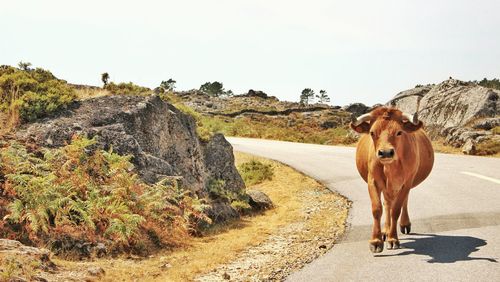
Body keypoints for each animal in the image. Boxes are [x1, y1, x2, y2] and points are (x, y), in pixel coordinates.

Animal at [352, 107, 434, 253]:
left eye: (399, 132)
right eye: (372, 132)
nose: (385, 152)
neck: (390, 167)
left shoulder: (406, 183)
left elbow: (396, 210)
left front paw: (393, 238)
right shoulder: (373, 182)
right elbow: (377, 209)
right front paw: (376, 240)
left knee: (402, 202)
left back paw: (404, 224)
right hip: (387, 188)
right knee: (387, 204)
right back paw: (385, 230)